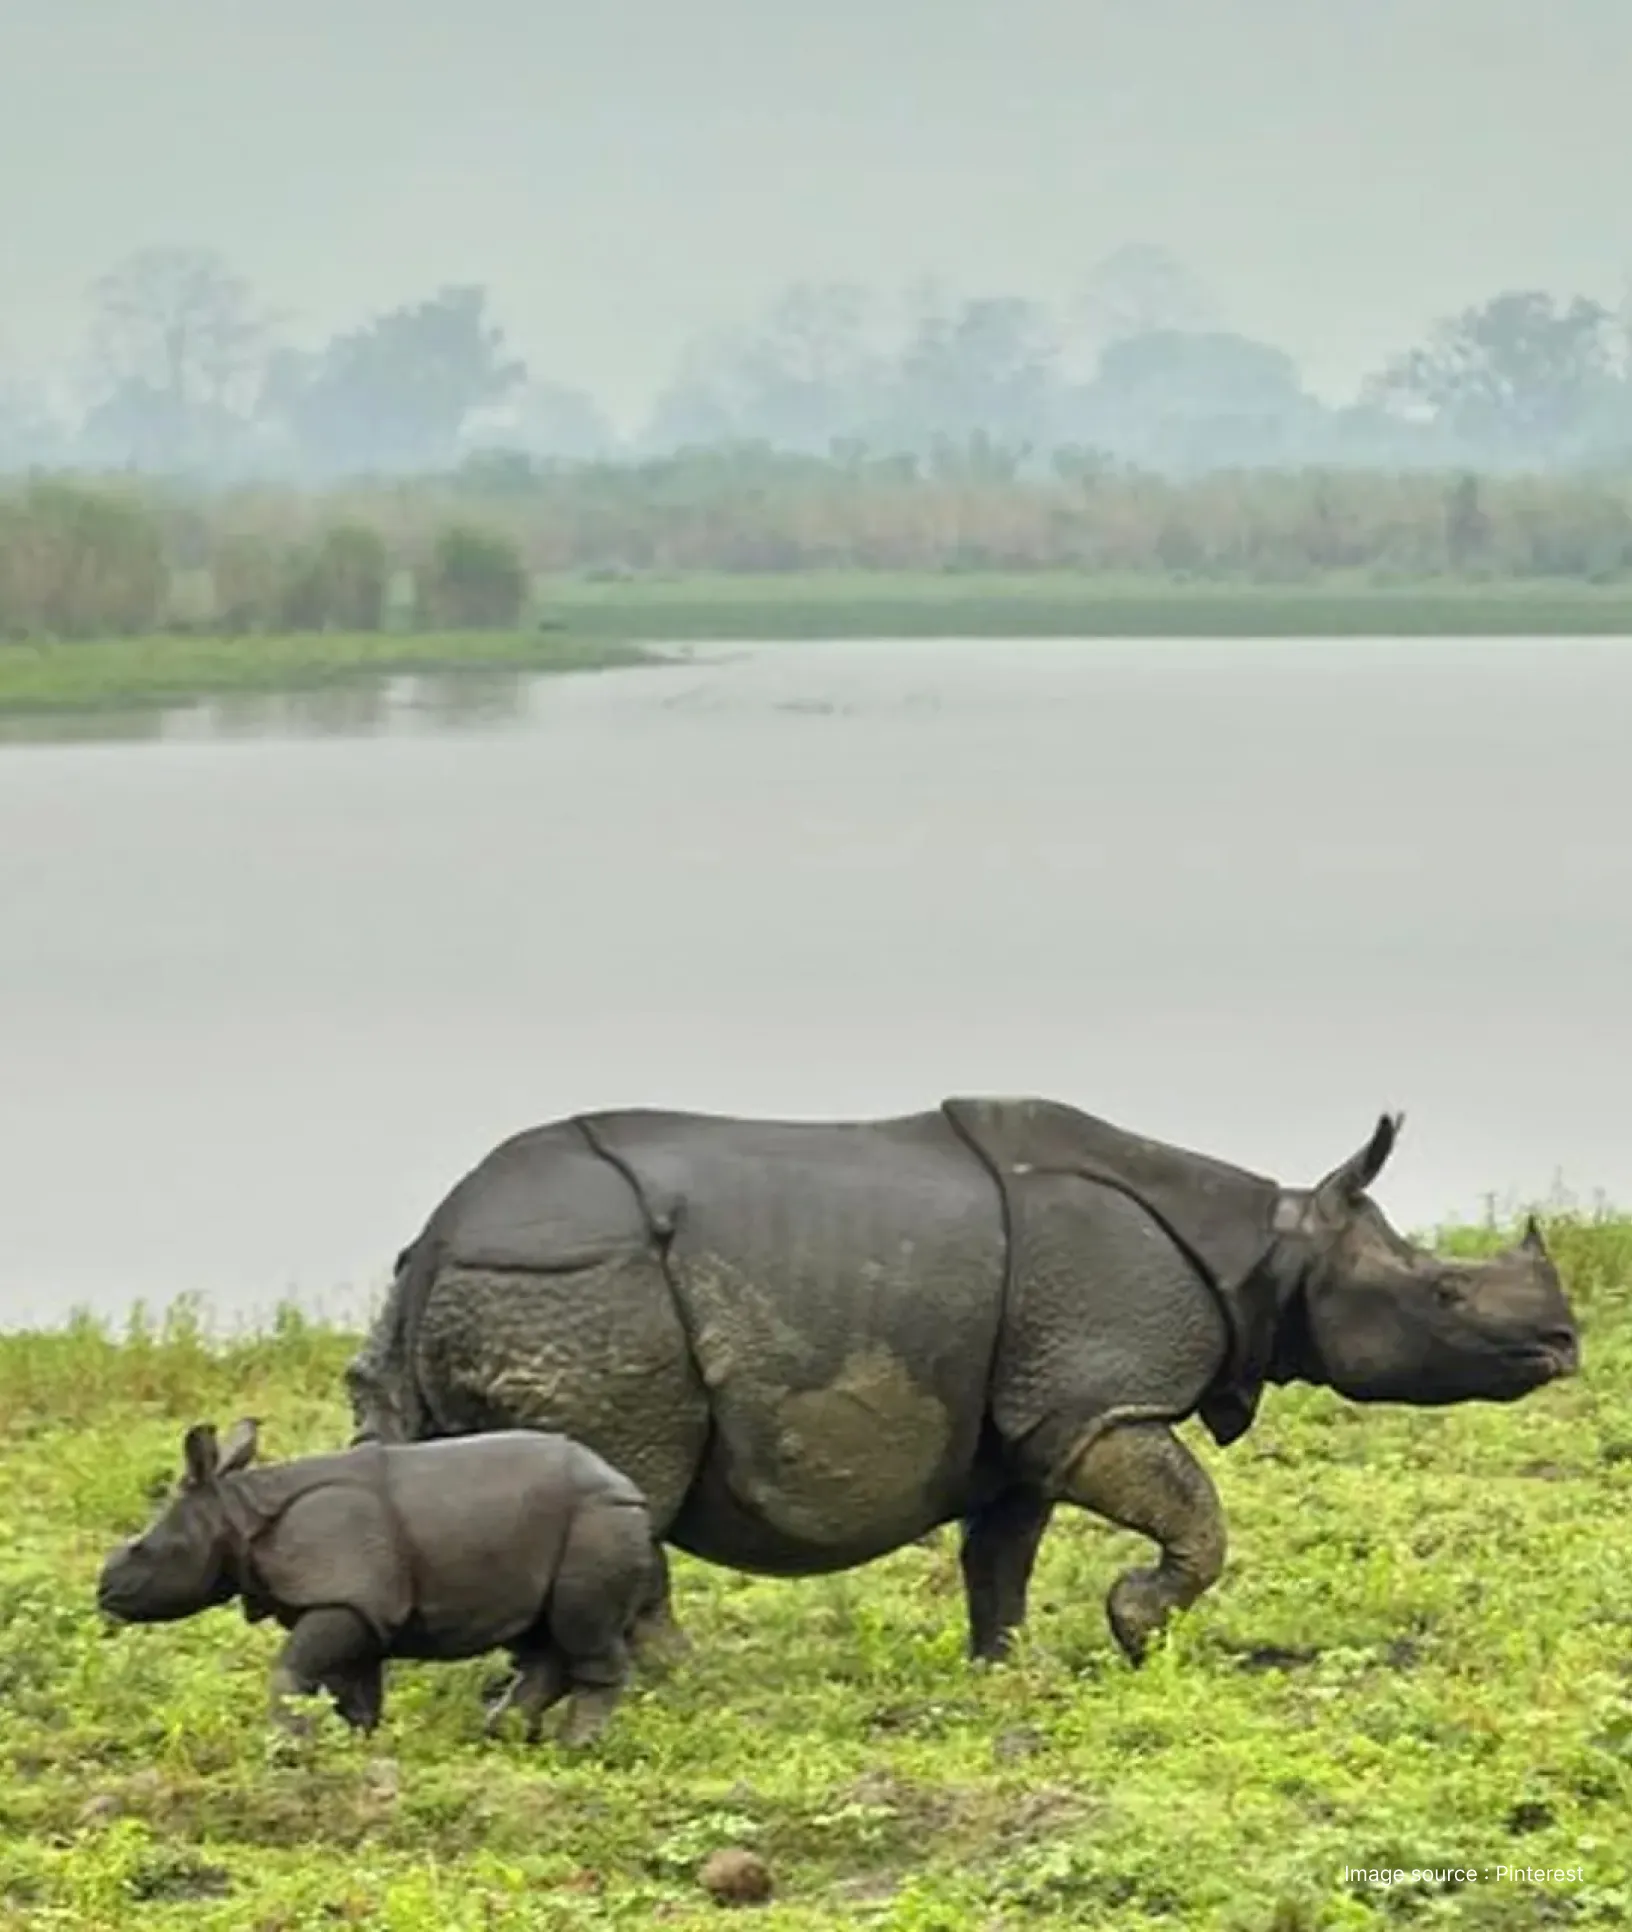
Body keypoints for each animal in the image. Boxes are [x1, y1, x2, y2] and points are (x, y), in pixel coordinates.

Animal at [96, 1418, 660, 1745]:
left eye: (143, 1548)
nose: (103, 1591)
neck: (238, 1514)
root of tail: (628, 1485)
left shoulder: (344, 1597)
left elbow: (291, 1670)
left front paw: (288, 1749)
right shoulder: (359, 1606)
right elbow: (354, 1687)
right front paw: (355, 1745)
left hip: (598, 1518)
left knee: (582, 1629)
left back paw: (575, 1747)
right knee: (542, 1636)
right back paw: (502, 1732)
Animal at [343, 1099, 1581, 1670]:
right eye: (1446, 1296)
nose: (1567, 1343)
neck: (1274, 1247)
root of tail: (440, 1239)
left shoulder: (1031, 1417)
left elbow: (1002, 1552)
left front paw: (1008, 1668)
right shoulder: (1097, 1401)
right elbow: (1198, 1515)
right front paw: (1136, 1629)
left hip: (501, 1295)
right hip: (584, 1290)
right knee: (622, 1493)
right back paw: (674, 1682)